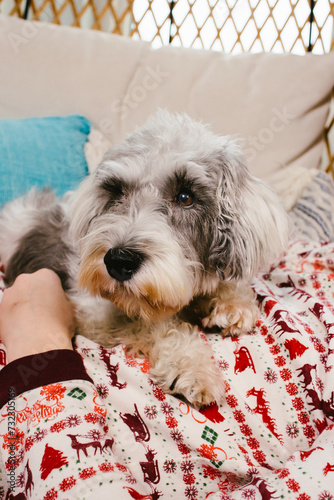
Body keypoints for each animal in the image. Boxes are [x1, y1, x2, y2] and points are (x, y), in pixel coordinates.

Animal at [0, 109, 288, 406]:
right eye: (116, 191)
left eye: (185, 197)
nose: (118, 261)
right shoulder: (95, 313)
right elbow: (157, 325)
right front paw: (192, 369)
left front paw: (232, 305)